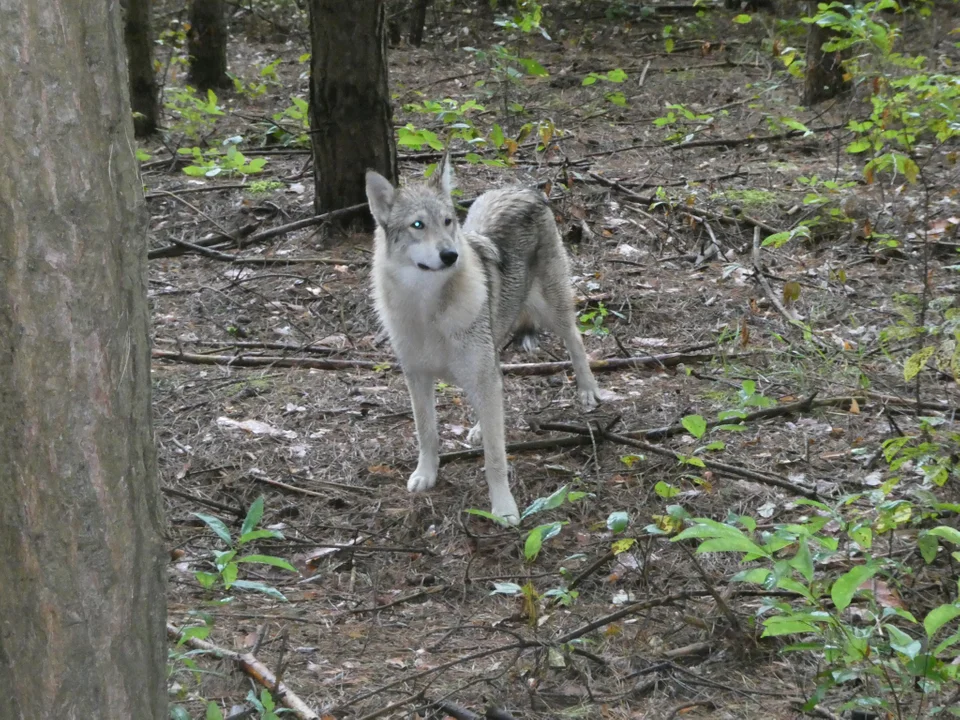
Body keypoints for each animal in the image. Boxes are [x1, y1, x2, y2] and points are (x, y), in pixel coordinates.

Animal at [364, 158, 612, 524]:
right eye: (417, 225)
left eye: (447, 221)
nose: (450, 255)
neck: (429, 310)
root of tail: (523, 188)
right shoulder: (417, 377)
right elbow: (427, 433)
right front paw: (426, 474)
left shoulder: (479, 374)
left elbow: (495, 458)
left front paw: (504, 508)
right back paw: (481, 426)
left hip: (552, 311)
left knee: (576, 341)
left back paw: (588, 391)